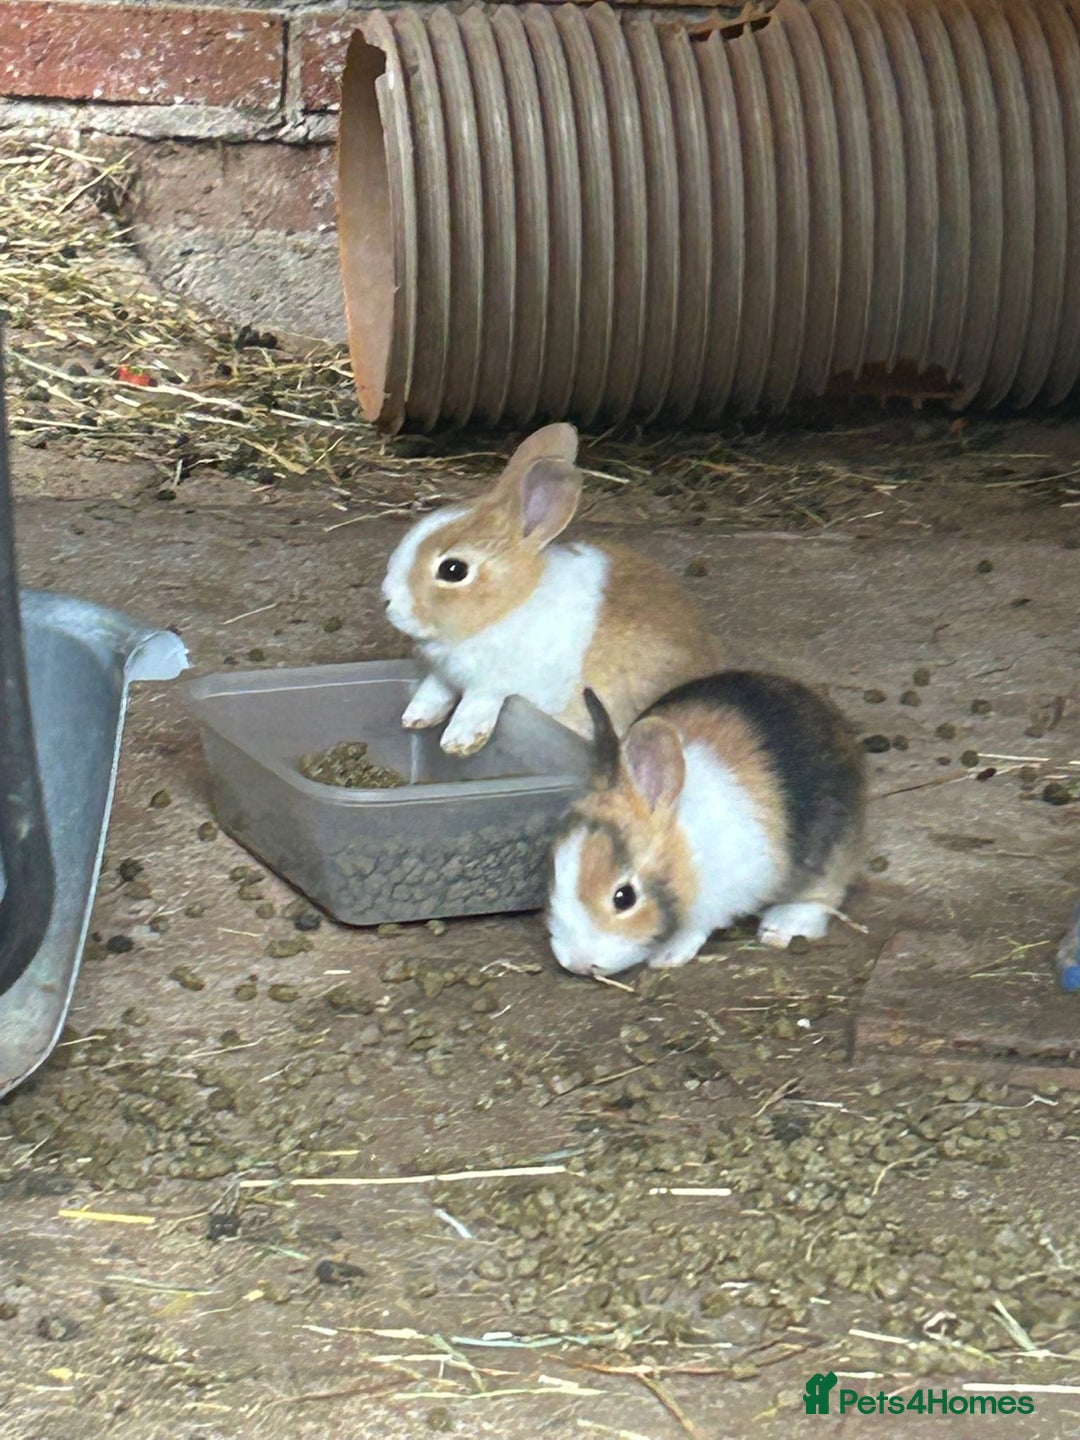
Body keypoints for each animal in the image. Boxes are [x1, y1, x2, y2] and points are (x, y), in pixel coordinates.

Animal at [380, 422, 719, 756]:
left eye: (453, 570)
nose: (388, 601)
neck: (511, 604)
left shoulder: (491, 686)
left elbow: (476, 705)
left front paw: (459, 741)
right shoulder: (444, 677)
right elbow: (433, 692)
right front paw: (415, 718)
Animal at [547, 673, 866, 976]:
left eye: (624, 898)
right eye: (554, 873)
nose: (577, 964)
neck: (686, 849)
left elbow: (695, 927)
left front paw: (667, 957)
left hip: (829, 853)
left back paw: (781, 927)